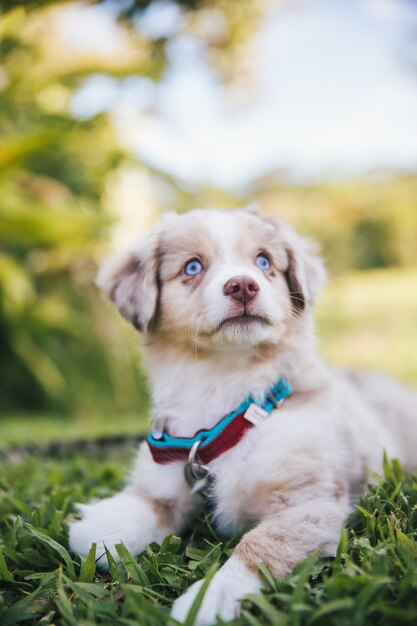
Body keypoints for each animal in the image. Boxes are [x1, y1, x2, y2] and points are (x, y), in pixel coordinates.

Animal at [68, 208, 416, 624]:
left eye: (264, 261)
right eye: (193, 266)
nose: (243, 286)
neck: (227, 383)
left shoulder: (310, 501)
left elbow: (259, 545)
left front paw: (208, 599)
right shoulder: (173, 463)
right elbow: (153, 501)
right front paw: (103, 526)